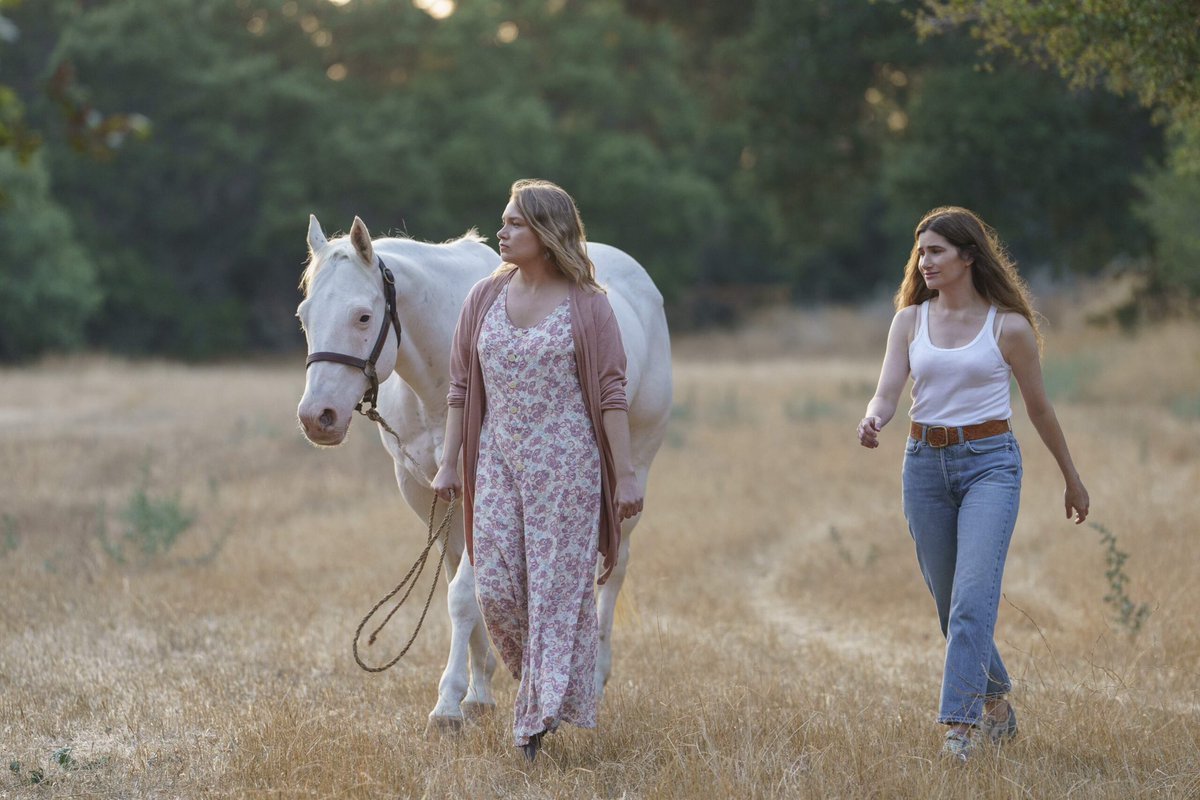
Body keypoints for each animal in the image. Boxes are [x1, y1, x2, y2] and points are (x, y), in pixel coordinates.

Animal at [297, 214, 676, 734]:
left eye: (362, 317)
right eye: (304, 316)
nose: (318, 418)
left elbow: (462, 596)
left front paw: (447, 704)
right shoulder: (428, 492)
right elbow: (465, 588)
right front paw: (477, 691)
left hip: (631, 469)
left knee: (613, 569)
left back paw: (593, 680)